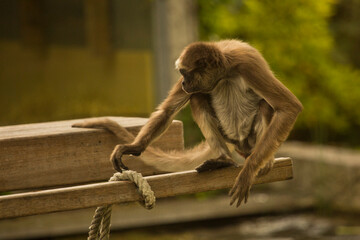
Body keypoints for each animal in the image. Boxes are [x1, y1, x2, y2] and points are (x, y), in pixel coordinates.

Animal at [74, 39, 304, 206]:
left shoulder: (248, 66)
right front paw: (133, 147)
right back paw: (223, 159)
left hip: (251, 140)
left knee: (266, 105)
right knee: (197, 98)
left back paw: (262, 160)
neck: (225, 71)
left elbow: (290, 107)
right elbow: (167, 111)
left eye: (185, 73)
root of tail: (240, 144)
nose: (184, 82)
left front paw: (249, 171)